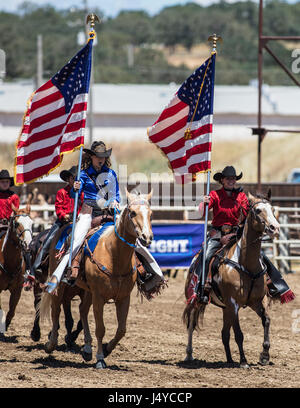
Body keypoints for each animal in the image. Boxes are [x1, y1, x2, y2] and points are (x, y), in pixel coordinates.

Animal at [39, 190, 152, 368]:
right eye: (132, 213)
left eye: (150, 214)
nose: (147, 237)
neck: (114, 254)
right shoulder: (99, 297)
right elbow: (100, 328)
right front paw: (100, 358)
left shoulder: (123, 297)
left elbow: (121, 329)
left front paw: (106, 349)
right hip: (61, 283)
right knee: (56, 309)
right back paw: (51, 344)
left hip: (88, 291)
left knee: (82, 310)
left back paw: (86, 349)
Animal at [183, 190, 282, 366]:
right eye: (258, 210)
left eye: (272, 209)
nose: (275, 228)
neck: (246, 264)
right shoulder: (233, 303)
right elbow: (239, 333)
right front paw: (244, 361)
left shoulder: (257, 301)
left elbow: (266, 320)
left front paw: (264, 355)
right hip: (195, 299)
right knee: (191, 324)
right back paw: (189, 354)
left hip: (225, 308)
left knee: (224, 333)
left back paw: (229, 359)